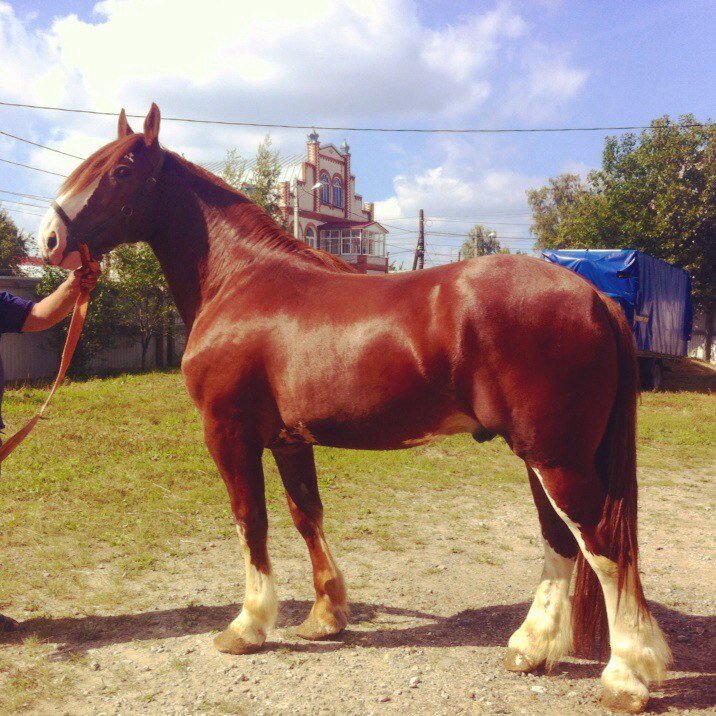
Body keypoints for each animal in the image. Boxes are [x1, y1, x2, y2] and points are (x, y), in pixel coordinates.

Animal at [36, 103, 668, 712]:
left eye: (121, 169)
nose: (49, 240)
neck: (240, 280)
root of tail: (595, 296)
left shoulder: (229, 432)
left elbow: (251, 520)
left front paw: (246, 626)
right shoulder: (289, 440)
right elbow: (305, 516)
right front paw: (325, 617)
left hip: (556, 458)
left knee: (603, 545)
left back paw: (625, 678)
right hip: (541, 455)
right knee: (560, 541)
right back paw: (531, 648)